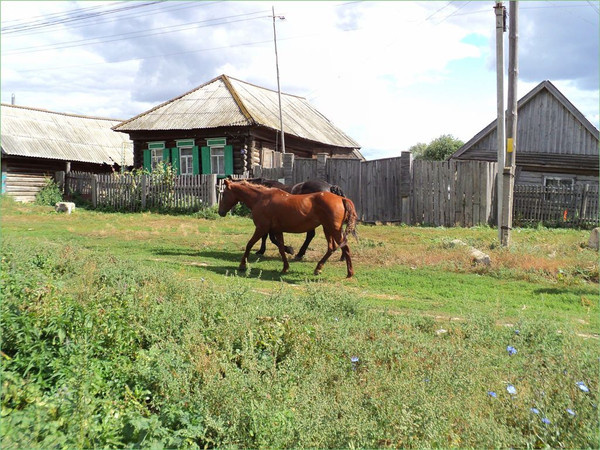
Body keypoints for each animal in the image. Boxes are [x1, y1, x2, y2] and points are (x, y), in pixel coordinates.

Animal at [218, 179, 356, 278]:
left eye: (224, 194)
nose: (220, 212)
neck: (261, 198)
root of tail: (341, 198)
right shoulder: (277, 230)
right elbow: (280, 248)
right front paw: (285, 267)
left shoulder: (261, 228)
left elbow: (250, 244)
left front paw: (242, 265)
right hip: (328, 229)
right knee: (331, 247)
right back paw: (318, 268)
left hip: (333, 229)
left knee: (345, 247)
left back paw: (349, 273)